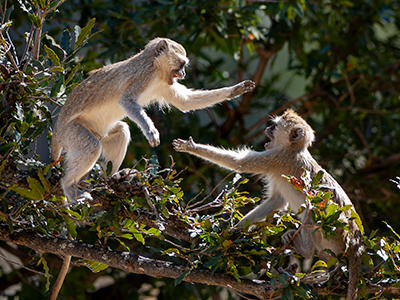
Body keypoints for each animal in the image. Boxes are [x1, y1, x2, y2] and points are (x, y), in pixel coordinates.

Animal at [51, 37, 255, 202]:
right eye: (181, 64)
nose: (183, 74)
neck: (155, 67)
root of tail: (58, 128)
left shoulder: (164, 84)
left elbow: (185, 103)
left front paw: (235, 90)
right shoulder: (145, 77)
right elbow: (126, 100)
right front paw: (151, 131)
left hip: (99, 132)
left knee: (122, 131)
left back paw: (112, 178)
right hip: (71, 133)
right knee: (92, 146)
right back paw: (68, 185)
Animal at [172, 109, 362, 298]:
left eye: (275, 126)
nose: (266, 129)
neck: (292, 149)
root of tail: (355, 242)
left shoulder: (275, 158)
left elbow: (240, 163)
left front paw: (191, 147)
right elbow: (276, 201)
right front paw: (236, 229)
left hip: (335, 230)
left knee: (311, 207)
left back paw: (305, 250)